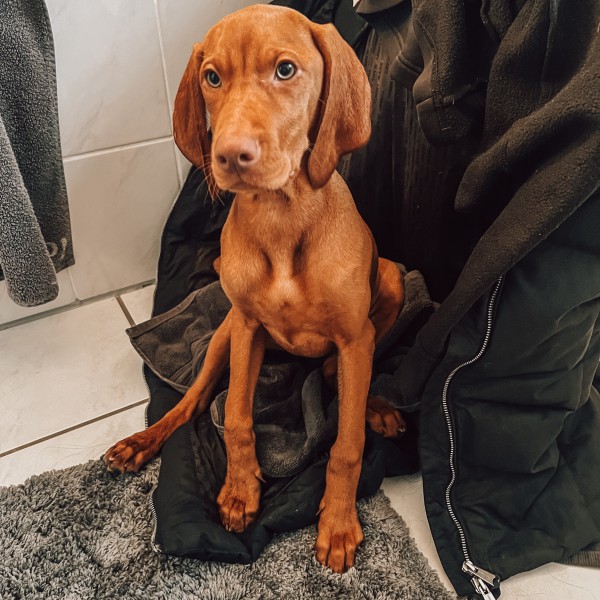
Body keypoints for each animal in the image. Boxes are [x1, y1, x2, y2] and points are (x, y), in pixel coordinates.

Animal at [104, 4, 406, 573]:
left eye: (285, 70)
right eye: (212, 77)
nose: (229, 155)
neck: (281, 219)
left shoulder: (355, 338)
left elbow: (346, 444)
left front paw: (337, 522)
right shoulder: (246, 328)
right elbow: (238, 416)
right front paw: (241, 491)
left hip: (393, 280)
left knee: (340, 377)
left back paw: (374, 404)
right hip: (222, 336)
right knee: (193, 401)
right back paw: (142, 442)